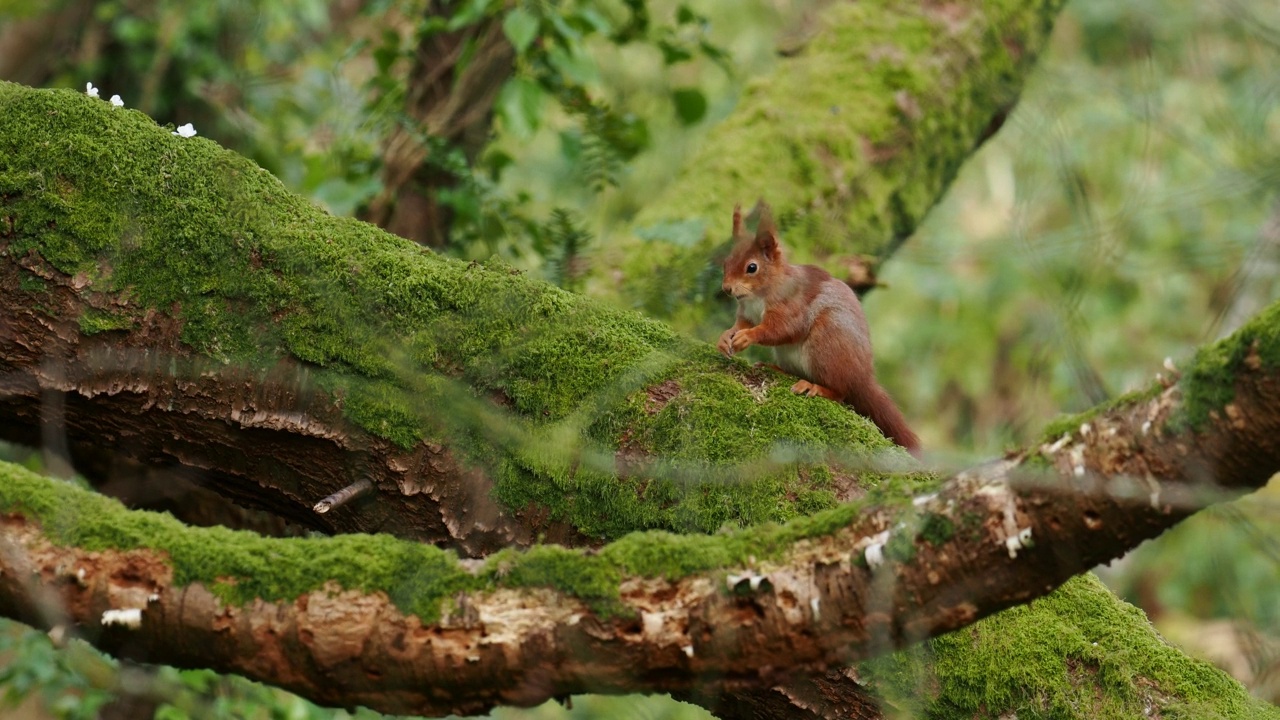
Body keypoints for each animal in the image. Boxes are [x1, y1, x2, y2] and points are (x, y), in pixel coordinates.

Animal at [721, 202, 921, 453]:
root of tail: (862, 377)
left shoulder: (791, 306)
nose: (726, 289)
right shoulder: (746, 311)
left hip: (827, 345)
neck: (759, 294)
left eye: (752, 267)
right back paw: (776, 368)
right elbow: (741, 324)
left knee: (841, 392)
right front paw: (726, 337)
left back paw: (815, 388)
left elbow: (781, 329)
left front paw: (748, 336)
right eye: (726, 262)